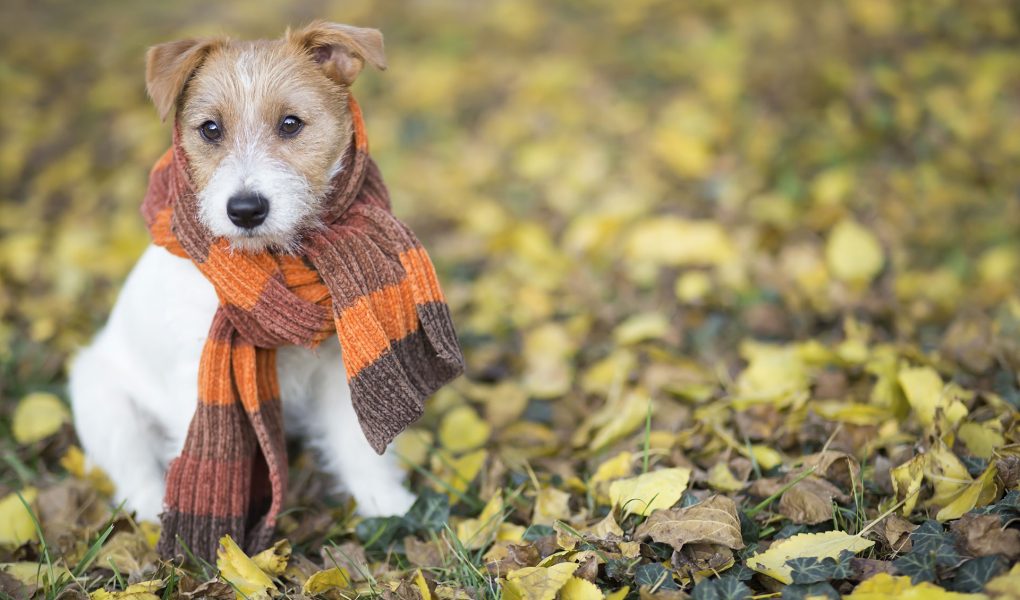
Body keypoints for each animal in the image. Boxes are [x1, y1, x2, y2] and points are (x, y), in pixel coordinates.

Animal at [68, 22, 418, 520]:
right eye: (210, 129)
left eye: (290, 124)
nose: (245, 210)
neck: (271, 264)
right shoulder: (199, 380)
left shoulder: (338, 363)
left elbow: (356, 439)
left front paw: (384, 503)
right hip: (103, 402)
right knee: (134, 470)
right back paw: (154, 510)